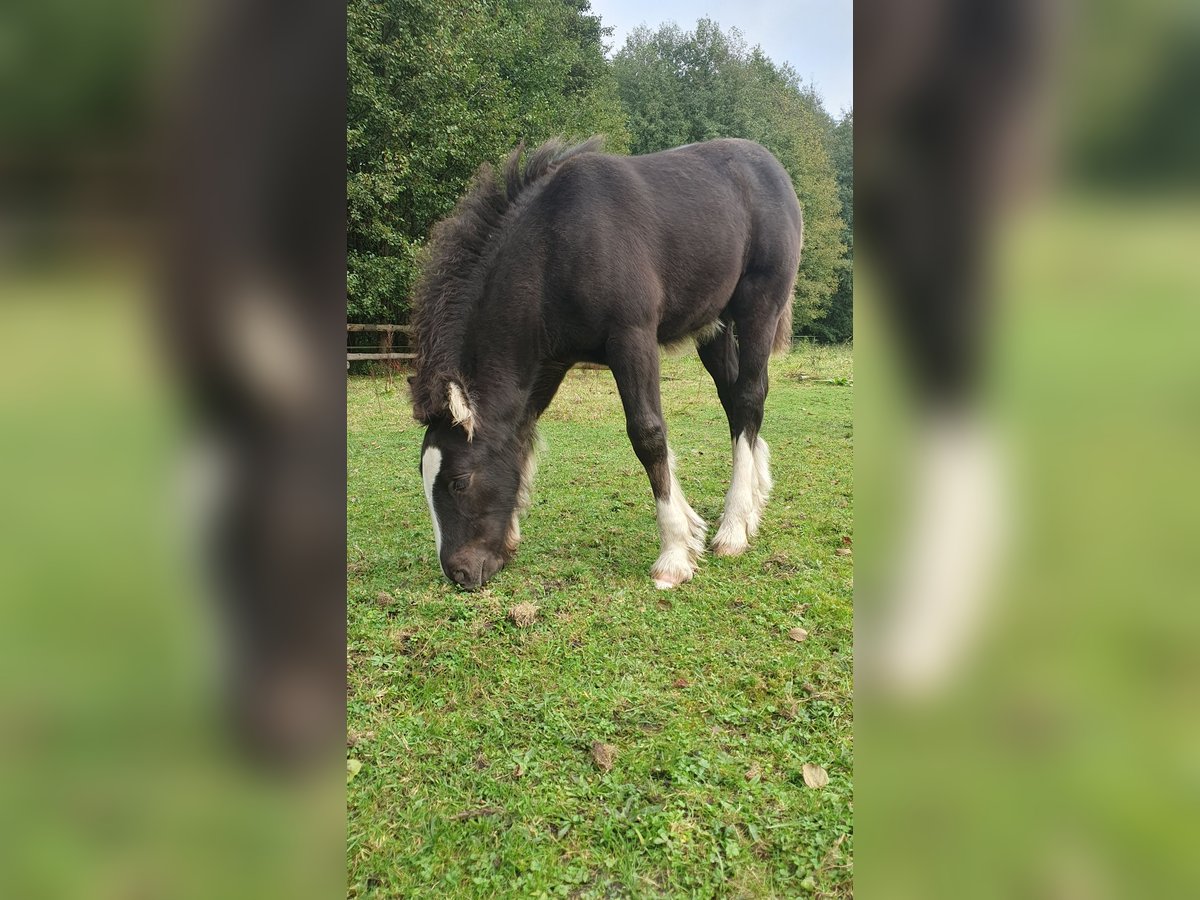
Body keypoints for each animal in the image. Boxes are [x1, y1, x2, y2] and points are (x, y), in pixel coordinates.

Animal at [409, 137, 803, 590]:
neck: (555, 247)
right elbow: (521, 438)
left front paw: (675, 553)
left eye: (459, 481)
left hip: (760, 304)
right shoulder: (549, 362)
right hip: (712, 325)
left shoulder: (632, 336)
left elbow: (648, 434)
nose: (459, 572)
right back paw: (752, 504)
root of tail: (773, 167)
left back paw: (734, 528)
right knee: (734, 401)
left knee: (750, 395)